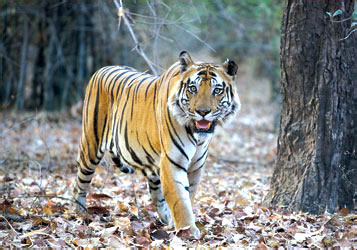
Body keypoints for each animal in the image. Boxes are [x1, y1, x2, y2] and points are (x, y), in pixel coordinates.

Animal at [72, 51, 239, 238]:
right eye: (192, 89)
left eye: (216, 90)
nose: (202, 112)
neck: (198, 137)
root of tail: (101, 69)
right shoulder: (173, 163)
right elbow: (180, 200)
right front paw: (188, 231)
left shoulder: (195, 166)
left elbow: (188, 196)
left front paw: (179, 225)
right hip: (90, 146)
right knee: (80, 182)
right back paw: (80, 213)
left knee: (155, 193)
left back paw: (165, 220)